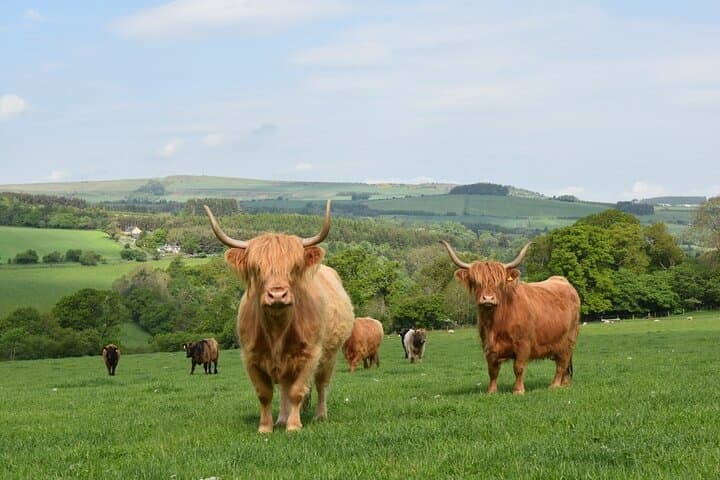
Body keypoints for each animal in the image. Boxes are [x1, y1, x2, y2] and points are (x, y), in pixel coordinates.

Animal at [205, 200, 355, 433]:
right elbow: (265, 394)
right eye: (257, 269)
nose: (277, 294)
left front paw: (294, 426)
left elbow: (298, 391)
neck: (277, 330)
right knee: (284, 387)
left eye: (293, 268)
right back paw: (282, 418)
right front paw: (266, 427)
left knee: (321, 384)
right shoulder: (250, 357)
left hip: (330, 356)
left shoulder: (311, 355)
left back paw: (320, 415)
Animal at [441, 241, 580, 395]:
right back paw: (565, 384)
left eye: (499, 283)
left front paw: (518, 390)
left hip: (567, 341)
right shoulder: (488, 347)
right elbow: (492, 371)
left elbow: (518, 368)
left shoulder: (523, 343)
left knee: (562, 363)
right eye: (476, 282)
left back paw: (554, 385)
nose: (488, 298)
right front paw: (491, 391)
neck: (495, 323)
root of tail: (562, 280)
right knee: (564, 365)